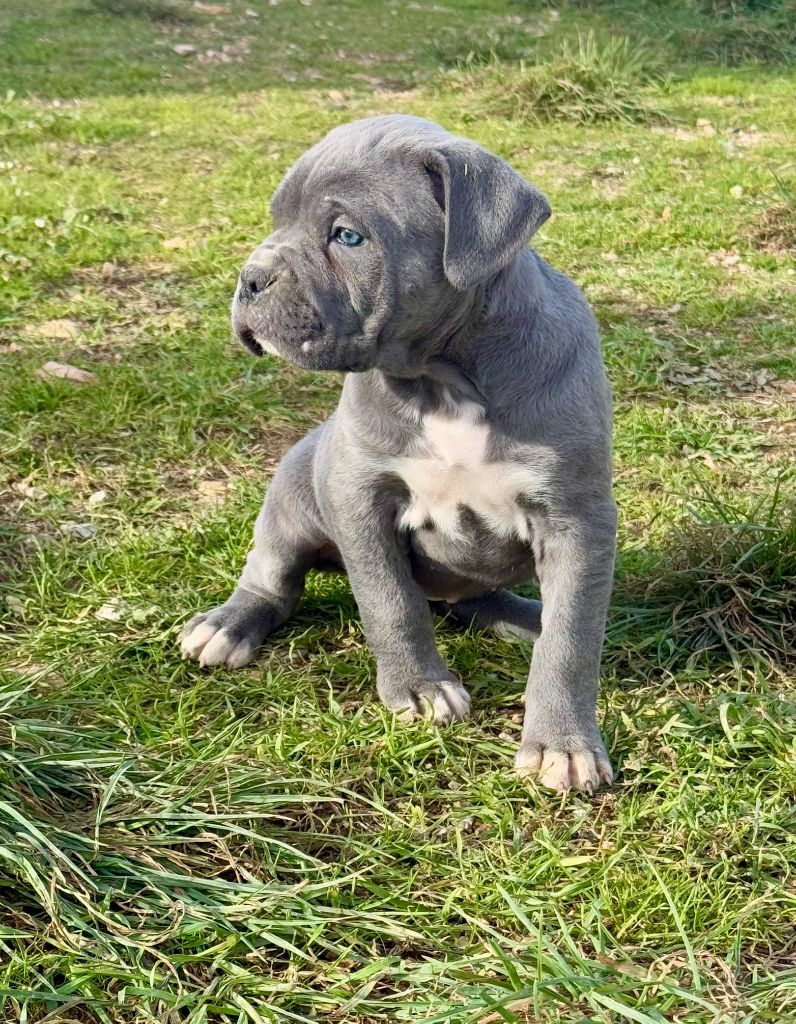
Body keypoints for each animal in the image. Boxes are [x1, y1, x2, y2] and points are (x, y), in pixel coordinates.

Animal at [180, 117, 614, 790]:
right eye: (276, 219)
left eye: (347, 236)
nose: (250, 277)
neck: (444, 378)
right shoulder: (361, 497)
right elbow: (390, 601)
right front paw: (419, 689)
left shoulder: (576, 518)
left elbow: (570, 638)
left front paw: (562, 744)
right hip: (290, 498)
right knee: (274, 578)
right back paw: (225, 627)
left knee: (482, 601)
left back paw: (526, 619)